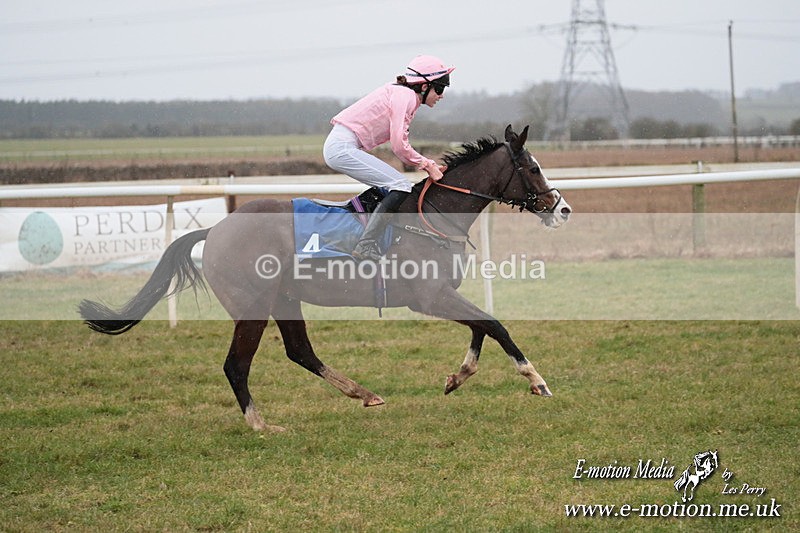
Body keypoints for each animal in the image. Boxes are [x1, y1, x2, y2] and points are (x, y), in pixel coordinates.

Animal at [79, 125, 572, 432]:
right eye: (532, 168)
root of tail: (215, 229)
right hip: (253, 306)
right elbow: (494, 324)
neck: (433, 215)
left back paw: (363, 393)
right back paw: (261, 425)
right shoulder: (429, 297)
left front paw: (458, 376)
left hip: (284, 299)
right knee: (236, 365)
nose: (562, 208)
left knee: (300, 351)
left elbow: (480, 327)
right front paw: (536, 380)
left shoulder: (441, 295)